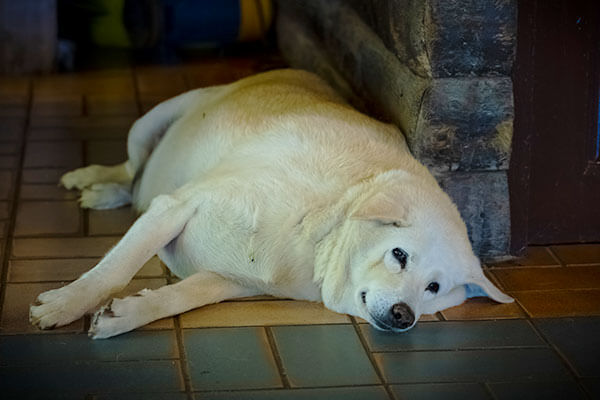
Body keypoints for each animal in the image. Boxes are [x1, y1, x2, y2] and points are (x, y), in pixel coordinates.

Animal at [29, 69, 510, 338]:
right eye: (399, 255)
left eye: (434, 288)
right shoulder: (175, 205)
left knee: (135, 186)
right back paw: (93, 181)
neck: (317, 233)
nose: (404, 315)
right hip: (149, 123)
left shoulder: (231, 281)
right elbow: (112, 271)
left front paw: (124, 315)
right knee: (131, 171)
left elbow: (177, 299)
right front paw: (65, 305)